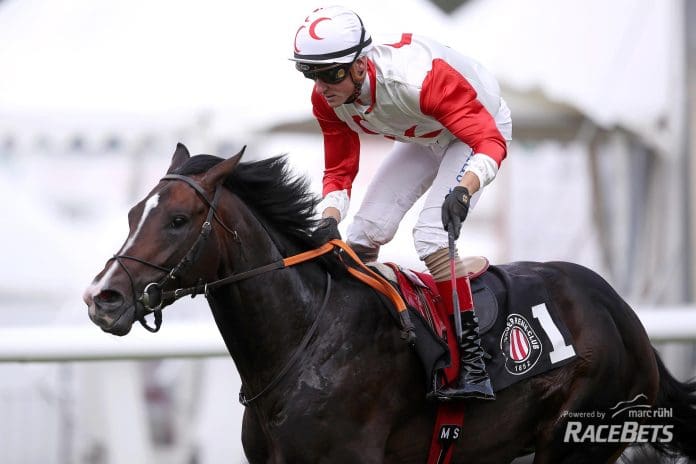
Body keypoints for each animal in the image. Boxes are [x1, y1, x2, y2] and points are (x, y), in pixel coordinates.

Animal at [83, 143, 696, 462]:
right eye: (135, 213)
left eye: (178, 219)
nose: (102, 298)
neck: (305, 342)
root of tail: (625, 316)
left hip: (575, 441)